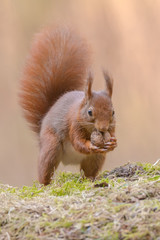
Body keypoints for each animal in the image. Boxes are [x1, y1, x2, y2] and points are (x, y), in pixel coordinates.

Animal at [19, 26, 117, 185]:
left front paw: (113, 142)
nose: (103, 128)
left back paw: (91, 179)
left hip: (95, 158)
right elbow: (78, 142)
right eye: (90, 112)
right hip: (51, 147)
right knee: (45, 169)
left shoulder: (112, 127)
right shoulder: (73, 124)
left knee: (88, 172)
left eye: (113, 112)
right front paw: (91, 145)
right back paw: (45, 184)